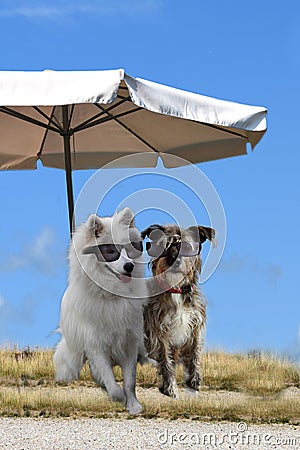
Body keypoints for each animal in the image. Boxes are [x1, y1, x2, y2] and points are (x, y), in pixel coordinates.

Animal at [54, 207, 148, 414]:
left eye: (130, 249)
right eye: (110, 251)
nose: (129, 266)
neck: (112, 294)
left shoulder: (129, 342)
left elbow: (130, 381)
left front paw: (133, 405)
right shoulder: (96, 346)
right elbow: (111, 384)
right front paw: (118, 397)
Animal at [142, 225, 214, 398]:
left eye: (186, 246)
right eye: (165, 246)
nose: (173, 260)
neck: (176, 289)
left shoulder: (195, 325)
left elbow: (195, 353)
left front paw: (194, 381)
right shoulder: (160, 330)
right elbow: (166, 361)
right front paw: (170, 387)